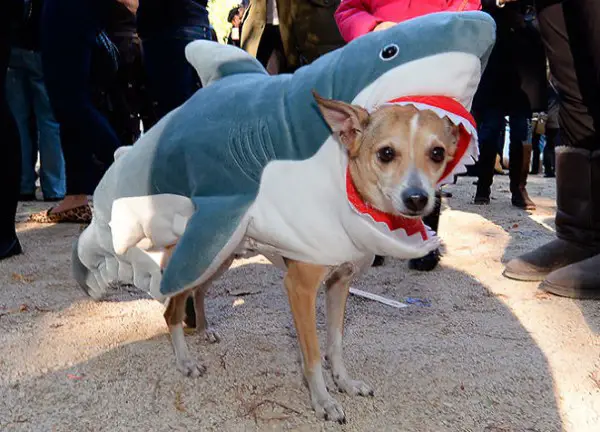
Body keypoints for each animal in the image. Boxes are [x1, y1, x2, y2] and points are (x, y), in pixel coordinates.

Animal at [161, 93, 460, 422]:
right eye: (386, 153)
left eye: (437, 153)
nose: (417, 199)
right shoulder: (300, 289)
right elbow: (314, 354)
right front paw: (323, 400)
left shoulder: (340, 284)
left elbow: (336, 343)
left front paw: (345, 382)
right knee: (171, 311)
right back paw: (185, 361)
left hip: (219, 260)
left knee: (198, 292)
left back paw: (203, 330)